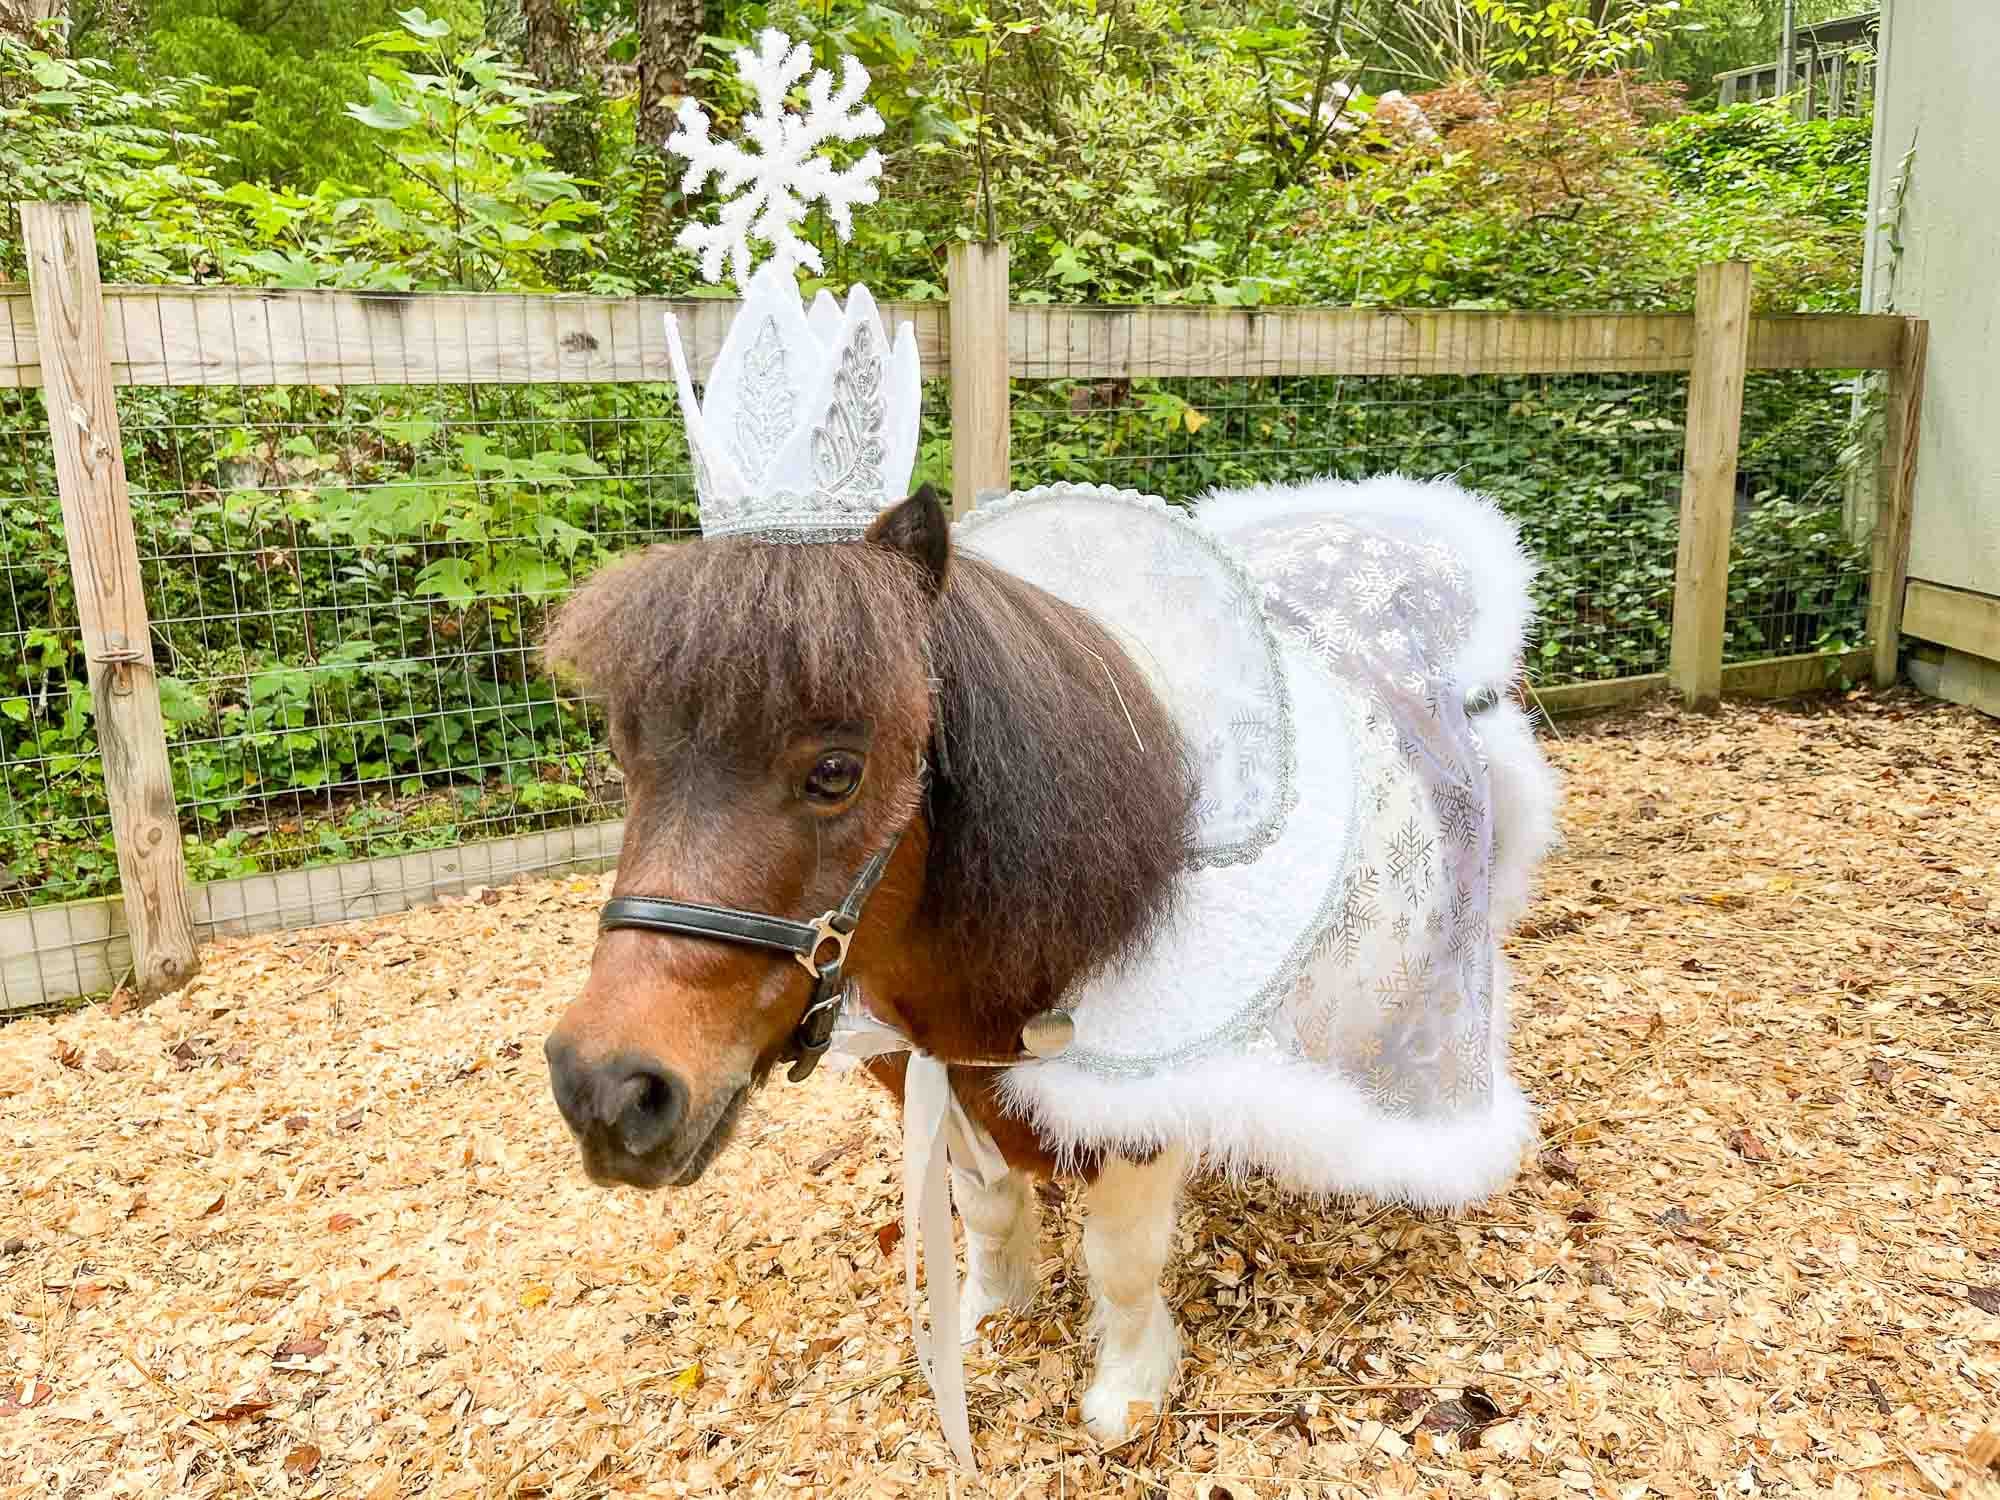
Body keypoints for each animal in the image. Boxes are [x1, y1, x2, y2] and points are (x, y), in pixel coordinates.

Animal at [540, 477, 1558, 1445]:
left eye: (835, 772)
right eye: (628, 755)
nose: (606, 1089)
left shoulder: (1135, 1113)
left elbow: (1122, 1261)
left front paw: (1130, 1392)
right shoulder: (933, 1071)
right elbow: (987, 1209)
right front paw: (989, 1318)